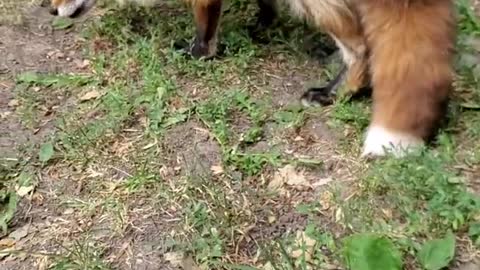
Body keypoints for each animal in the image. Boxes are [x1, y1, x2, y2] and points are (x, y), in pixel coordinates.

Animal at [49, 0, 458, 158]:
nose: (50, 11)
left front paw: (199, 54)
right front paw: (263, 24)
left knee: (361, 48)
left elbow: (204, 32)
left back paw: (336, 92)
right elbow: (263, 6)